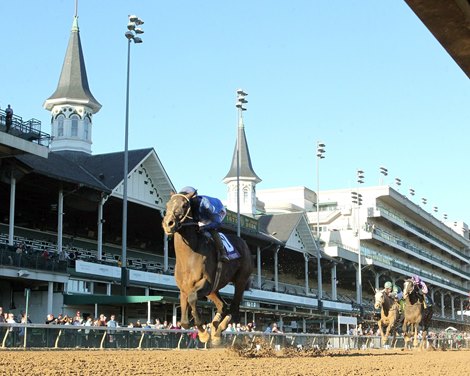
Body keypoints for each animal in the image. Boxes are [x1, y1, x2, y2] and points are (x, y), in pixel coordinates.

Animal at [162, 192, 253, 346]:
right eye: (167, 204)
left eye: (184, 205)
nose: (168, 223)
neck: (189, 256)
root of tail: (244, 243)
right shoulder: (184, 288)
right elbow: (184, 321)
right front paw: (205, 331)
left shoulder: (206, 283)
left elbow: (192, 299)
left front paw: (204, 333)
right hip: (214, 289)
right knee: (223, 306)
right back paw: (216, 331)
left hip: (240, 280)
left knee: (234, 308)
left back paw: (219, 329)